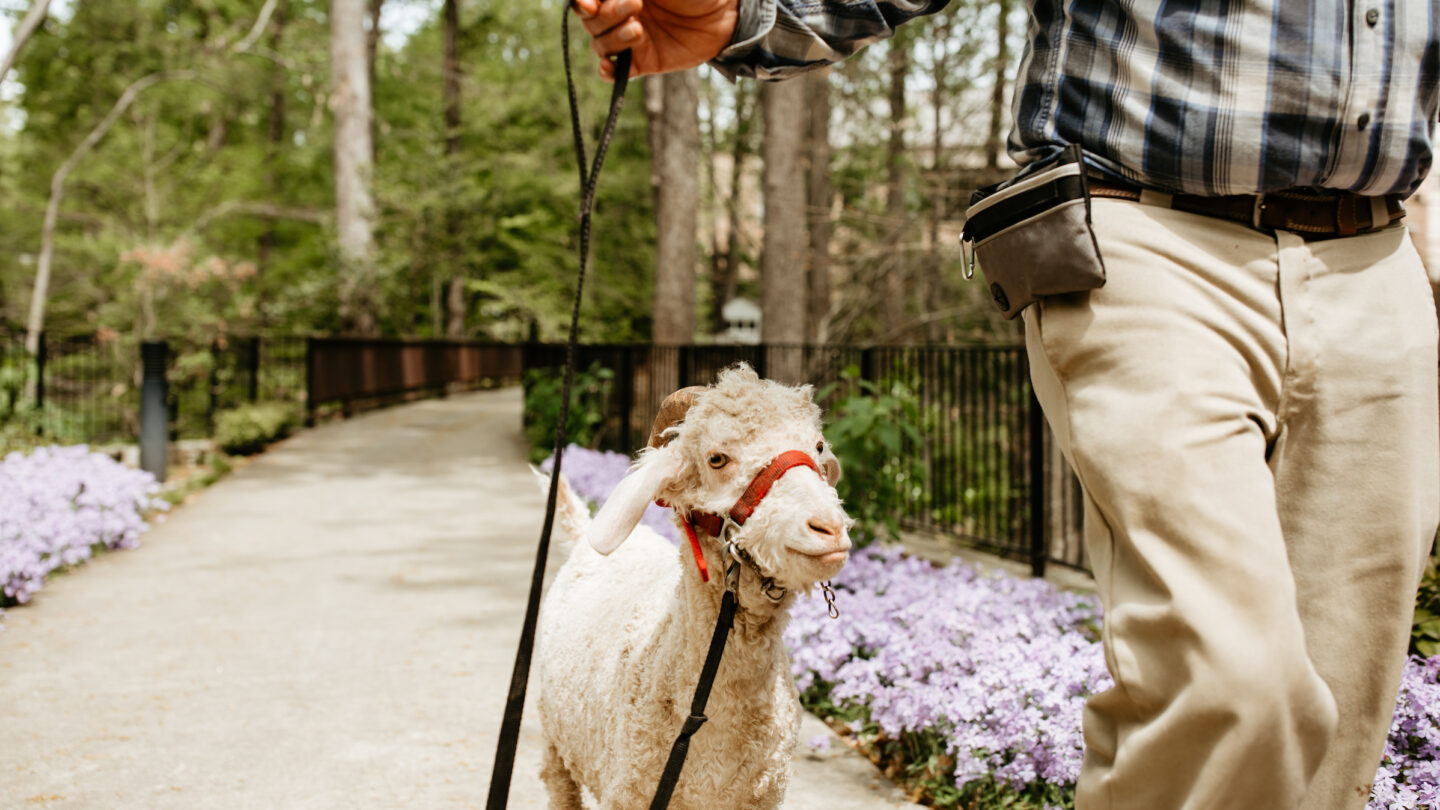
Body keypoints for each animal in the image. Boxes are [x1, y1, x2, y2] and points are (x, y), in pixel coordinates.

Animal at [541, 364, 852, 807]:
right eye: (716, 458)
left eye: (818, 446)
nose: (828, 528)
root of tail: (584, 530)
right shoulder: (629, 792)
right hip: (554, 743)